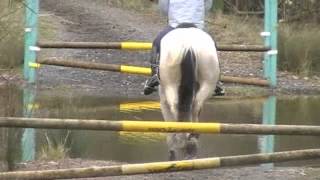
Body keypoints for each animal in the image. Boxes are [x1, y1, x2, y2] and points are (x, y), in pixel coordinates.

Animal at [158, 23, 220, 160]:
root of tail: (188, 46)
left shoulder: (163, 100)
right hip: (208, 82)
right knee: (196, 105)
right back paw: (192, 136)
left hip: (170, 86)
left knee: (176, 107)